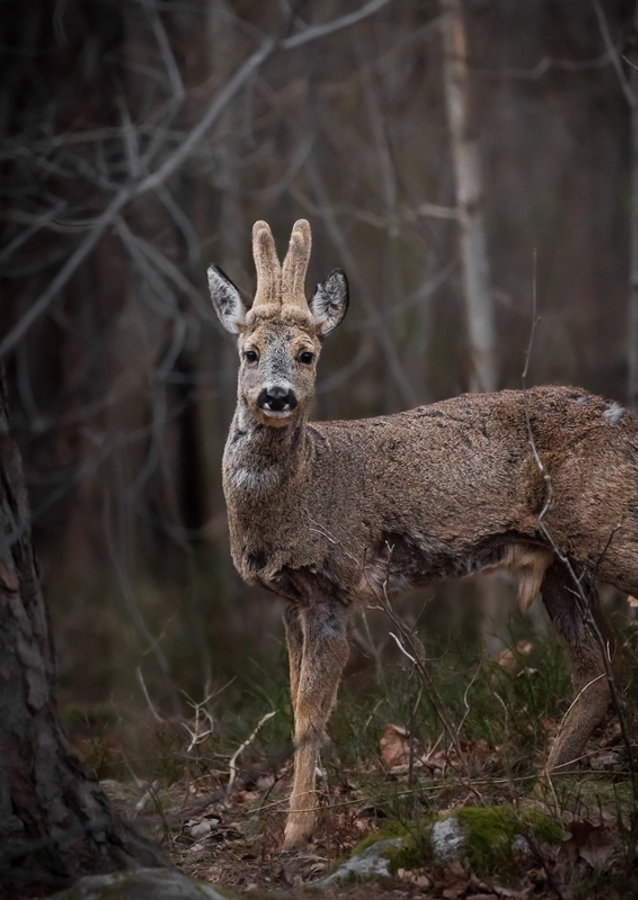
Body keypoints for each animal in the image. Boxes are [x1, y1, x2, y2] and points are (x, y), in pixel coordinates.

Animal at [208, 218, 634, 849]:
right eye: (249, 352)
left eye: (308, 354)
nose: (276, 396)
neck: (303, 488)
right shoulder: (289, 598)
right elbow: (293, 699)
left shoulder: (335, 583)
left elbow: (311, 711)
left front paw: (297, 830)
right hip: (563, 562)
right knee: (598, 667)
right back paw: (541, 793)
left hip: (607, 528)